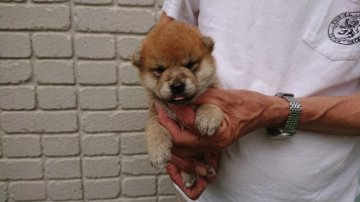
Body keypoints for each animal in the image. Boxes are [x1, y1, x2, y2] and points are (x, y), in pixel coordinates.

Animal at [131, 21, 224, 187]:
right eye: (160, 69)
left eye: (190, 64)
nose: (177, 86)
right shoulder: (156, 113)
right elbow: (155, 129)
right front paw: (158, 151)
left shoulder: (215, 91)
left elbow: (209, 102)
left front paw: (208, 117)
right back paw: (190, 176)